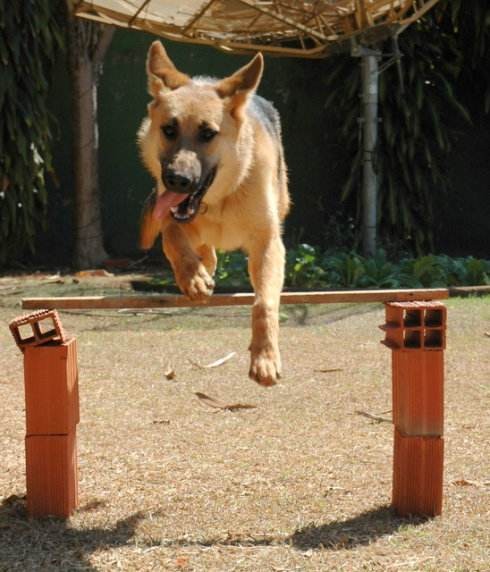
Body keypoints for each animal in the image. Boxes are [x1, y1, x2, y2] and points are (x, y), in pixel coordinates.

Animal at [138, 42, 290, 386]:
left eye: (208, 134)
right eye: (169, 129)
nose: (177, 180)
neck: (222, 196)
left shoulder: (268, 244)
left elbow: (264, 304)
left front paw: (265, 358)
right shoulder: (173, 216)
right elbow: (172, 237)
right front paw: (193, 277)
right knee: (201, 247)